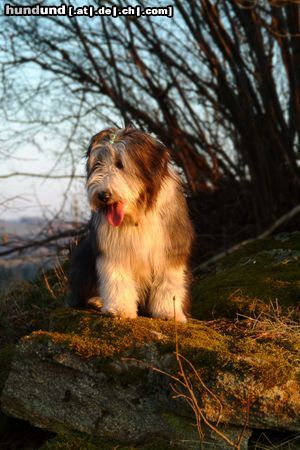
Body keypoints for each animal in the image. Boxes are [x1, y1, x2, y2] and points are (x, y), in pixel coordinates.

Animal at [69, 127, 193, 324]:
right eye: (98, 164)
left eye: (120, 164)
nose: (103, 195)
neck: (137, 213)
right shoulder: (113, 248)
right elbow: (117, 278)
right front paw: (119, 309)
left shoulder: (171, 245)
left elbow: (168, 280)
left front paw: (168, 312)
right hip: (84, 256)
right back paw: (96, 300)